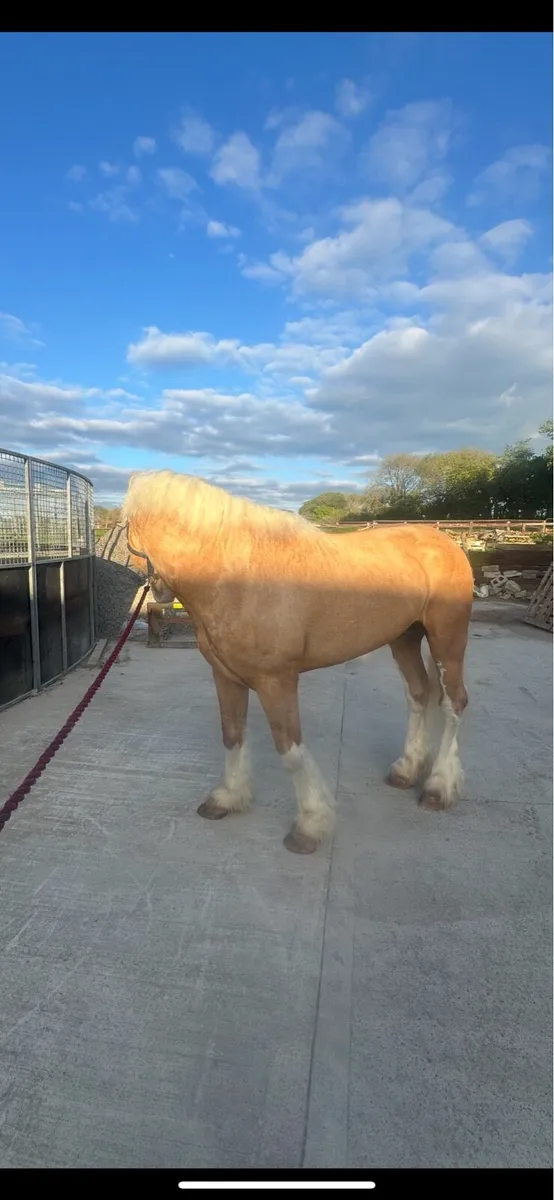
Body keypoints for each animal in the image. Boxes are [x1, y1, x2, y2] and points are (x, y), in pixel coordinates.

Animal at [121, 469, 474, 855]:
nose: (156, 593)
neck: (237, 574)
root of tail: (447, 543)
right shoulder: (225, 676)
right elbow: (232, 735)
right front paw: (227, 798)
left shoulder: (277, 681)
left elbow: (289, 751)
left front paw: (309, 825)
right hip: (404, 638)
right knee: (419, 694)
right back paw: (406, 770)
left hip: (447, 640)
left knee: (453, 703)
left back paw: (438, 788)